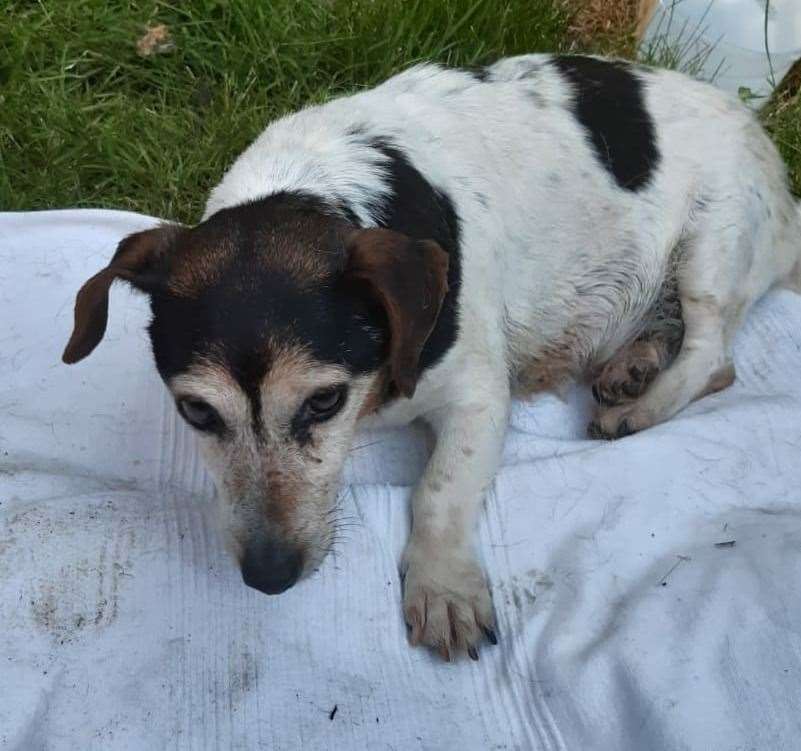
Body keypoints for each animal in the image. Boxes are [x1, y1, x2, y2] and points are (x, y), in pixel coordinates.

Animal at [64, 55, 800, 660]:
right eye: (196, 412)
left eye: (324, 400)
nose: (268, 577)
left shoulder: (477, 397)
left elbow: (440, 488)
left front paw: (443, 590)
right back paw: (633, 364)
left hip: (714, 240)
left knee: (712, 352)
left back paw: (640, 406)